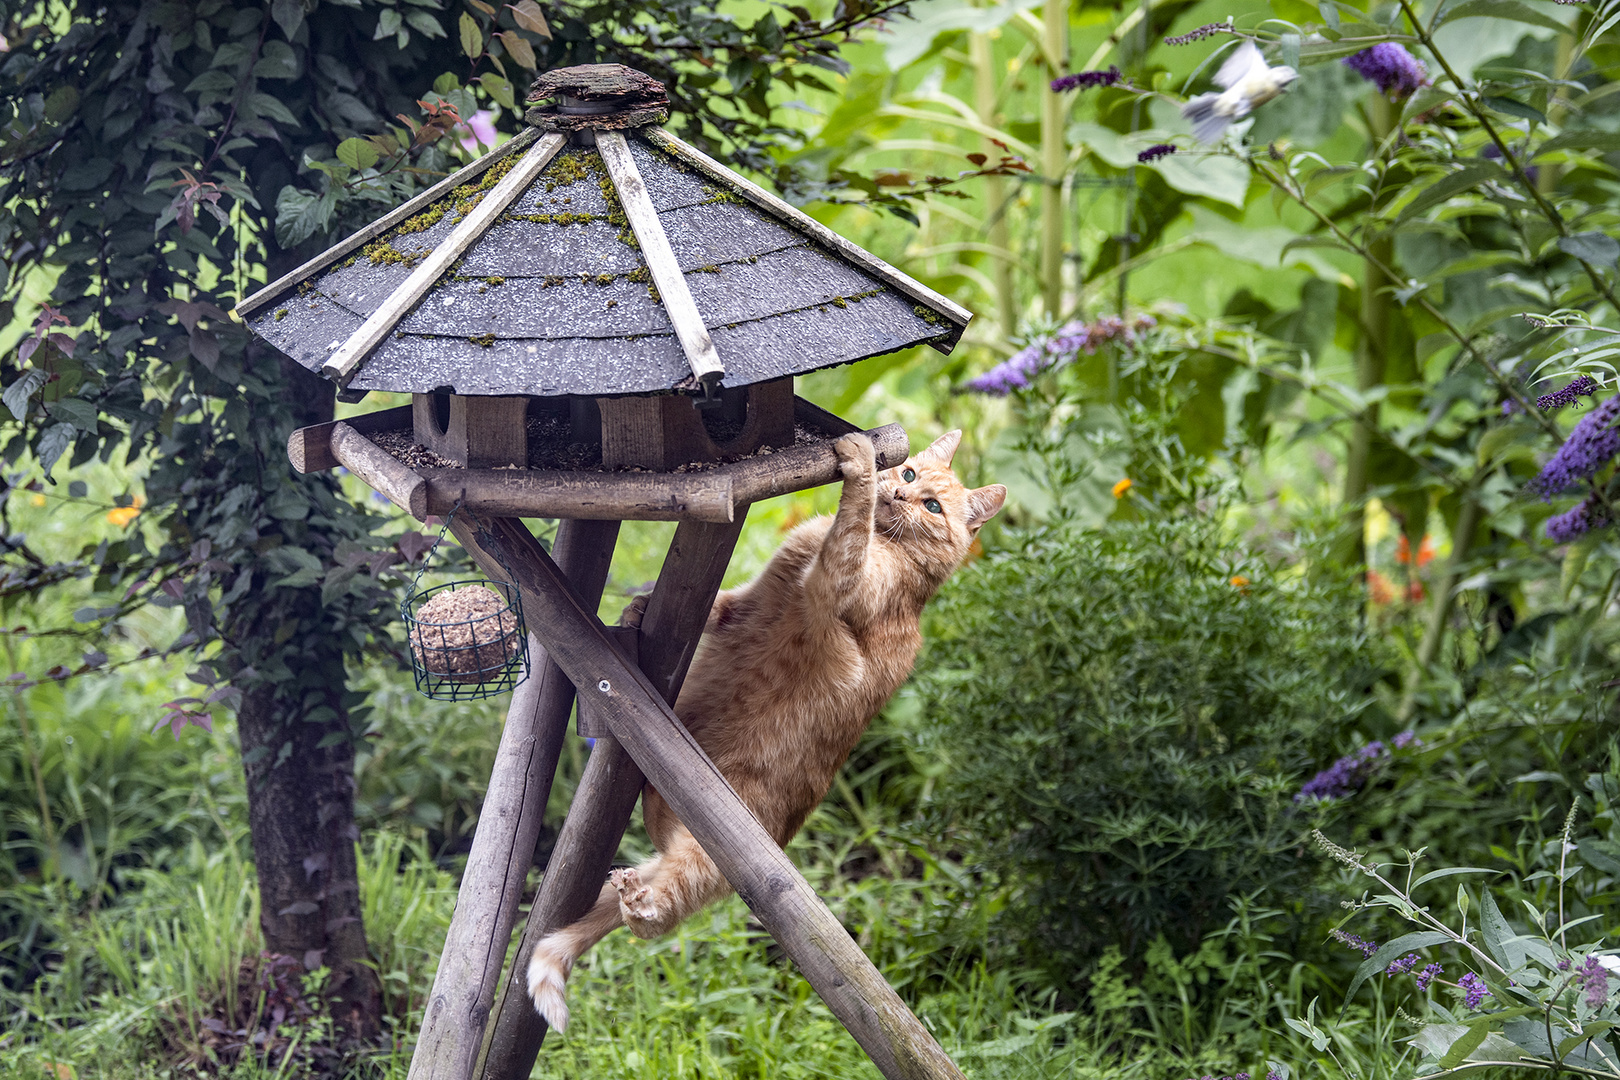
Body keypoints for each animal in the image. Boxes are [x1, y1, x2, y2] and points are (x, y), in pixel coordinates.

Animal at [524, 427, 997, 1029]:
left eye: (933, 507)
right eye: (911, 474)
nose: (901, 494)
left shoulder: (836, 579)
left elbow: (850, 525)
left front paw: (860, 463)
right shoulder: (743, 602)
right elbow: (709, 608)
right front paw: (636, 613)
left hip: (711, 855)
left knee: (657, 918)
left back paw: (641, 905)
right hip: (671, 855)